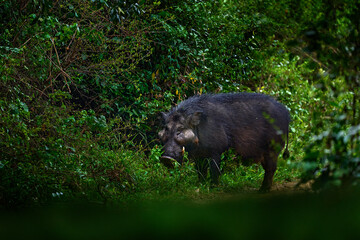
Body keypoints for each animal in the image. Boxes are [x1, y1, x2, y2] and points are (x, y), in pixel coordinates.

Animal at [158, 93, 290, 192]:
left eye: (180, 129)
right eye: (166, 129)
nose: (166, 158)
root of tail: (287, 113)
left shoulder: (217, 150)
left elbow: (215, 170)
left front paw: (213, 187)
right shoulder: (200, 155)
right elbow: (201, 171)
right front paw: (200, 185)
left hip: (273, 148)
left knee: (271, 169)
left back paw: (262, 191)